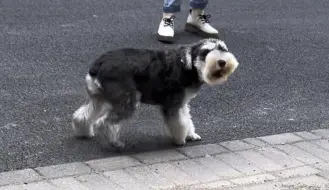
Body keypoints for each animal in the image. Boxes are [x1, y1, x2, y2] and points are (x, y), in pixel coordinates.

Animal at [72, 38, 238, 148]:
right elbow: (179, 122)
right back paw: (115, 142)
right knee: (105, 122)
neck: (188, 65)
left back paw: (85, 132)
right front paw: (180, 140)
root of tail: (98, 65)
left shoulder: (182, 103)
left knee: (82, 115)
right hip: (128, 101)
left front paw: (191, 134)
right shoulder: (172, 104)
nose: (222, 62)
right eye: (206, 52)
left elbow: (186, 119)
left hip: (98, 99)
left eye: (223, 49)